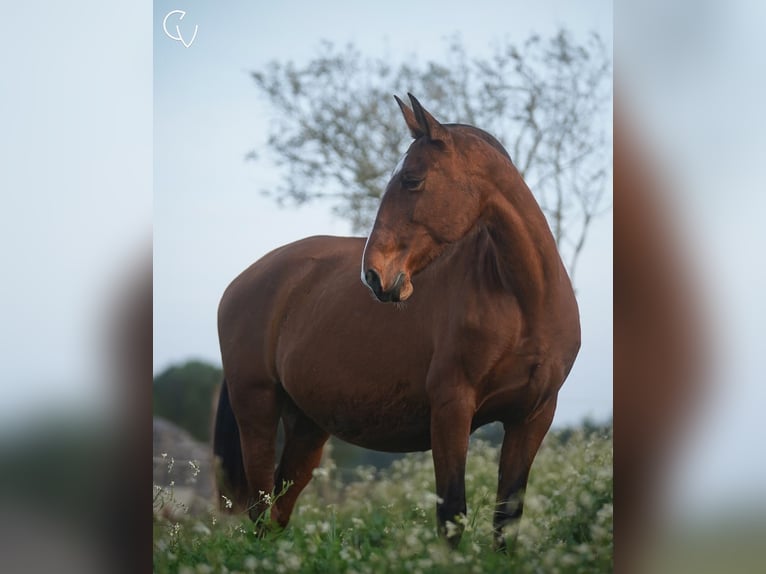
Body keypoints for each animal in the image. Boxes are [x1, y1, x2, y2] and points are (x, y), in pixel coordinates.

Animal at [213, 92, 580, 552]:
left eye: (412, 179)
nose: (374, 275)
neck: (523, 300)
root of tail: (241, 282)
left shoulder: (532, 417)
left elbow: (506, 518)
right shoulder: (452, 409)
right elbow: (452, 513)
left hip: (307, 426)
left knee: (279, 509)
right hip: (257, 408)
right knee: (262, 509)